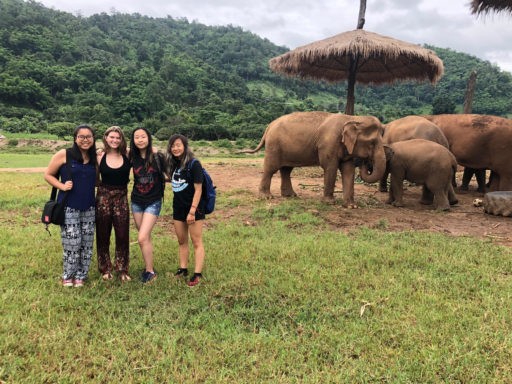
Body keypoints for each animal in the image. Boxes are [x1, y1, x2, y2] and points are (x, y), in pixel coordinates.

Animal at [243, 111, 384, 207]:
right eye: (372, 143)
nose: (366, 162)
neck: (352, 118)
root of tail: (269, 126)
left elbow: (348, 170)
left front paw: (351, 206)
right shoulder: (328, 144)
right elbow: (330, 167)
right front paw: (329, 203)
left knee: (286, 169)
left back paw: (291, 196)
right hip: (274, 146)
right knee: (271, 169)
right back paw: (267, 198)